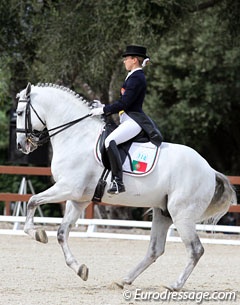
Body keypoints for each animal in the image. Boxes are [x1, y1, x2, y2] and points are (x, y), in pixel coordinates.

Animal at [15, 82, 235, 290]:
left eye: (19, 113)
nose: (20, 145)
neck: (76, 136)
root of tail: (209, 170)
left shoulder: (68, 188)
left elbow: (32, 201)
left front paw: (36, 233)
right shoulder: (79, 199)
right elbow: (61, 233)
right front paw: (80, 269)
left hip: (182, 214)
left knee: (195, 249)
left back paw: (173, 286)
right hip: (163, 212)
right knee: (155, 250)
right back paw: (123, 280)